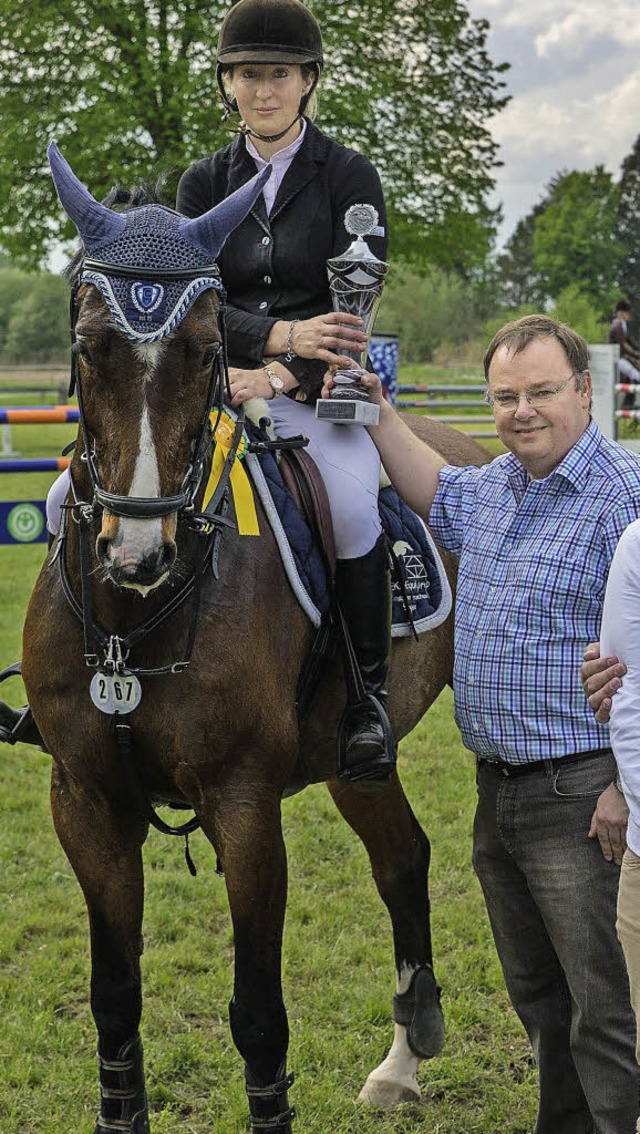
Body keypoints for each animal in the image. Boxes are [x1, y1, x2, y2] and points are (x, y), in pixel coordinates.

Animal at [20, 144, 490, 1134]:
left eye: (205, 353)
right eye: (88, 347)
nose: (137, 555)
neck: (132, 625)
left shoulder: (244, 807)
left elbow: (259, 1016)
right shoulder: (84, 801)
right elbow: (114, 999)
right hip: (354, 761)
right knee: (402, 857)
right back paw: (402, 1061)